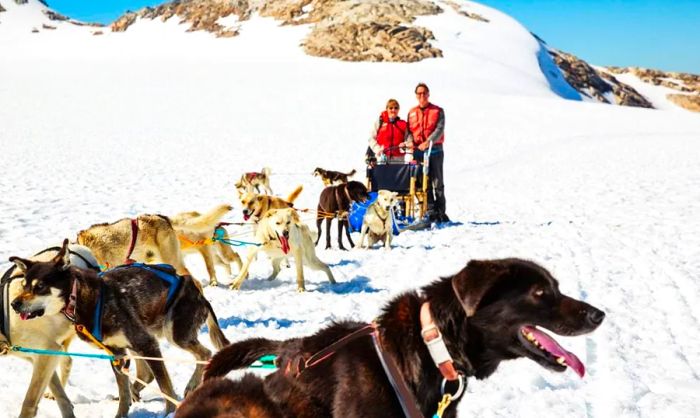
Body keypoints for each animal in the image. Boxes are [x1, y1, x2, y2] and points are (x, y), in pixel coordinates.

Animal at [0, 243, 99, 418]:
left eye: (39, 287)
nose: (14, 305)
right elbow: (60, 395)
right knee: (67, 361)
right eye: (24, 286)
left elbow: (29, 402)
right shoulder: (42, 357)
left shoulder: (46, 353)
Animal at [9, 240, 230, 416]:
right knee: (146, 374)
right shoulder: (116, 352)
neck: (82, 298)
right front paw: (121, 412)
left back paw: (192, 384)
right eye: (24, 285)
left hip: (174, 333)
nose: (14, 304)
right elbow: (123, 393)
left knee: (205, 353)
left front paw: (169, 412)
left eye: (39, 286)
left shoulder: (147, 343)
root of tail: (199, 294)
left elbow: (165, 386)